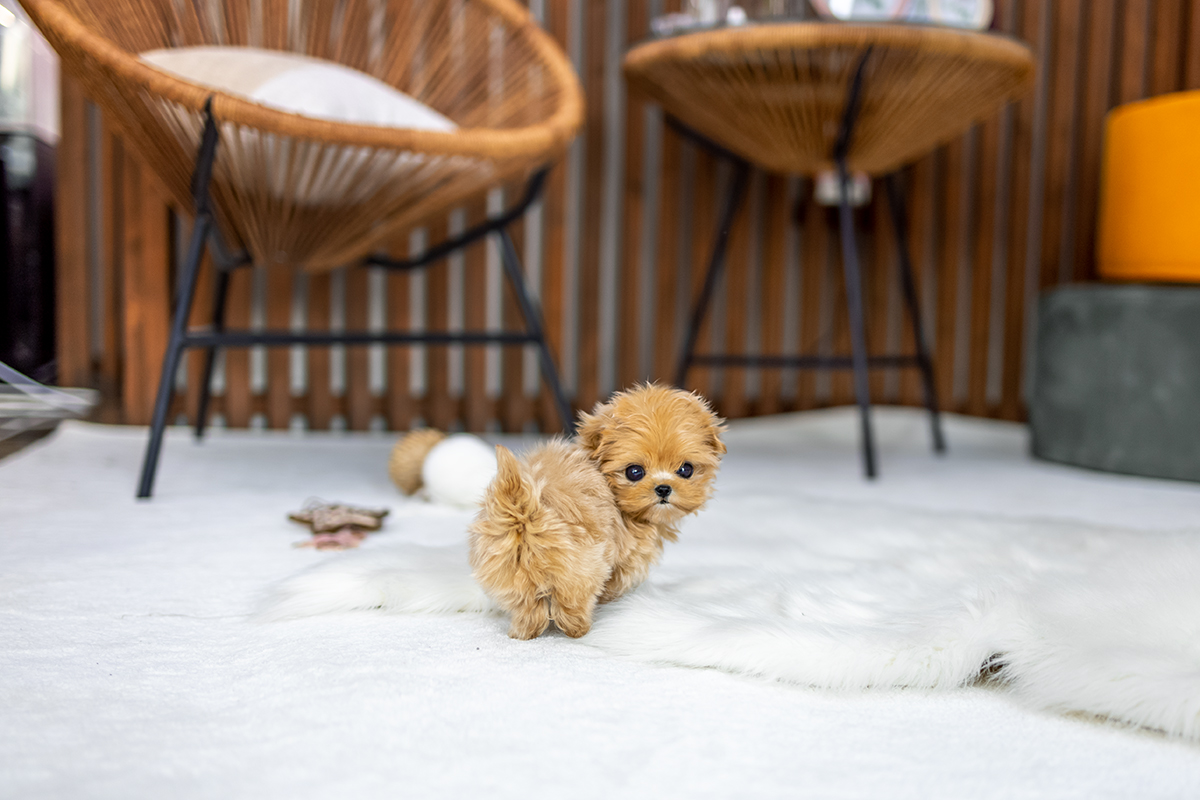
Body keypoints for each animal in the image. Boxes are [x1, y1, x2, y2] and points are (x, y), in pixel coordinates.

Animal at [468, 383, 724, 642]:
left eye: (685, 469)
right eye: (634, 472)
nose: (663, 488)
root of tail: (523, 509)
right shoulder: (628, 554)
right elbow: (620, 580)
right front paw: (613, 599)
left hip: (506, 569)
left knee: (528, 608)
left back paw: (523, 633)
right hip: (582, 567)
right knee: (571, 604)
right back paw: (578, 629)